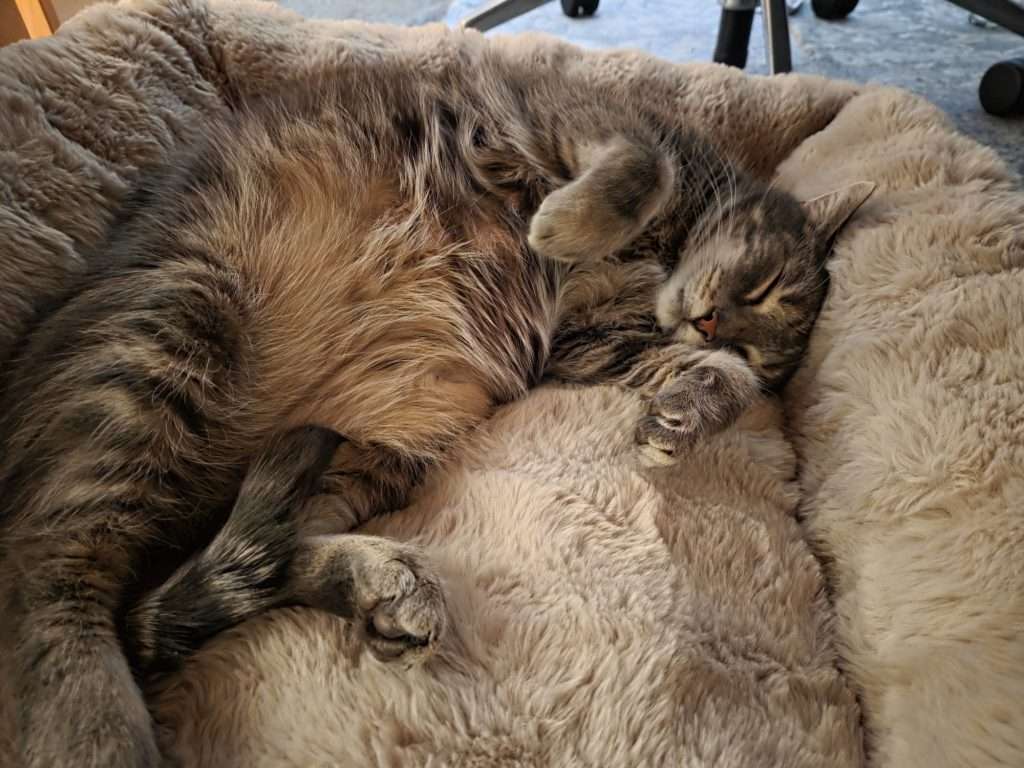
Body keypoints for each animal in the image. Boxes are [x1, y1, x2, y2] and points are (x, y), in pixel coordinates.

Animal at [0, 42, 872, 768]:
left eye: (764, 331)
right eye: (762, 284)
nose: (713, 322)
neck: (660, 262)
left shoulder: (584, 342)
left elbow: (706, 375)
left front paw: (691, 402)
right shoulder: (578, 125)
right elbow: (639, 166)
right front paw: (570, 224)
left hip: (374, 450)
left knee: (242, 559)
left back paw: (375, 583)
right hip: (175, 326)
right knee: (46, 571)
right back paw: (102, 727)